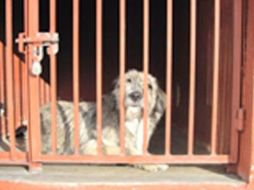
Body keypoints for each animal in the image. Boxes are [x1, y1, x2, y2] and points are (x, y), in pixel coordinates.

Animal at [18, 70, 169, 172]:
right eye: (128, 81)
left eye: (149, 86)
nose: (135, 95)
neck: (130, 120)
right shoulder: (90, 146)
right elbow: (128, 150)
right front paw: (152, 162)